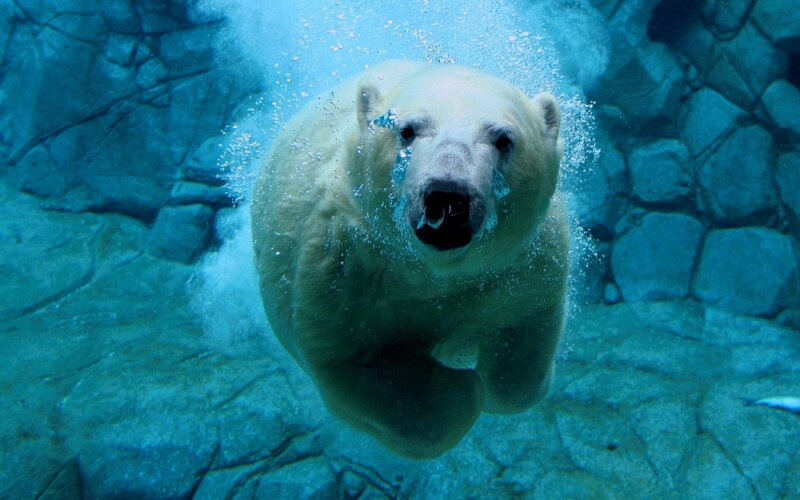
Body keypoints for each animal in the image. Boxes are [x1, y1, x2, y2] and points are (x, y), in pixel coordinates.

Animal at [251, 60, 568, 459]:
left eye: (503, 139)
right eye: (407, 130)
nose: (447, 195)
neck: (431, 272)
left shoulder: (521, 264)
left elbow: (523, 336)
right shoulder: (340, 269)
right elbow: (352, 364)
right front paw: (460, 387)